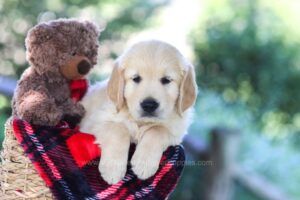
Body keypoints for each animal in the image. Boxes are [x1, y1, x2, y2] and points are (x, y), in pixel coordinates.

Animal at [79, 39, 198, 184]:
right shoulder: (93, 122)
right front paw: (113, 168)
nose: (149, 105)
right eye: (136, 78)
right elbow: (119, 129)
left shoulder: (175, 132)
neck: (140, 122)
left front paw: (144, 163)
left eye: (166, 80)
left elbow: (158, 130)